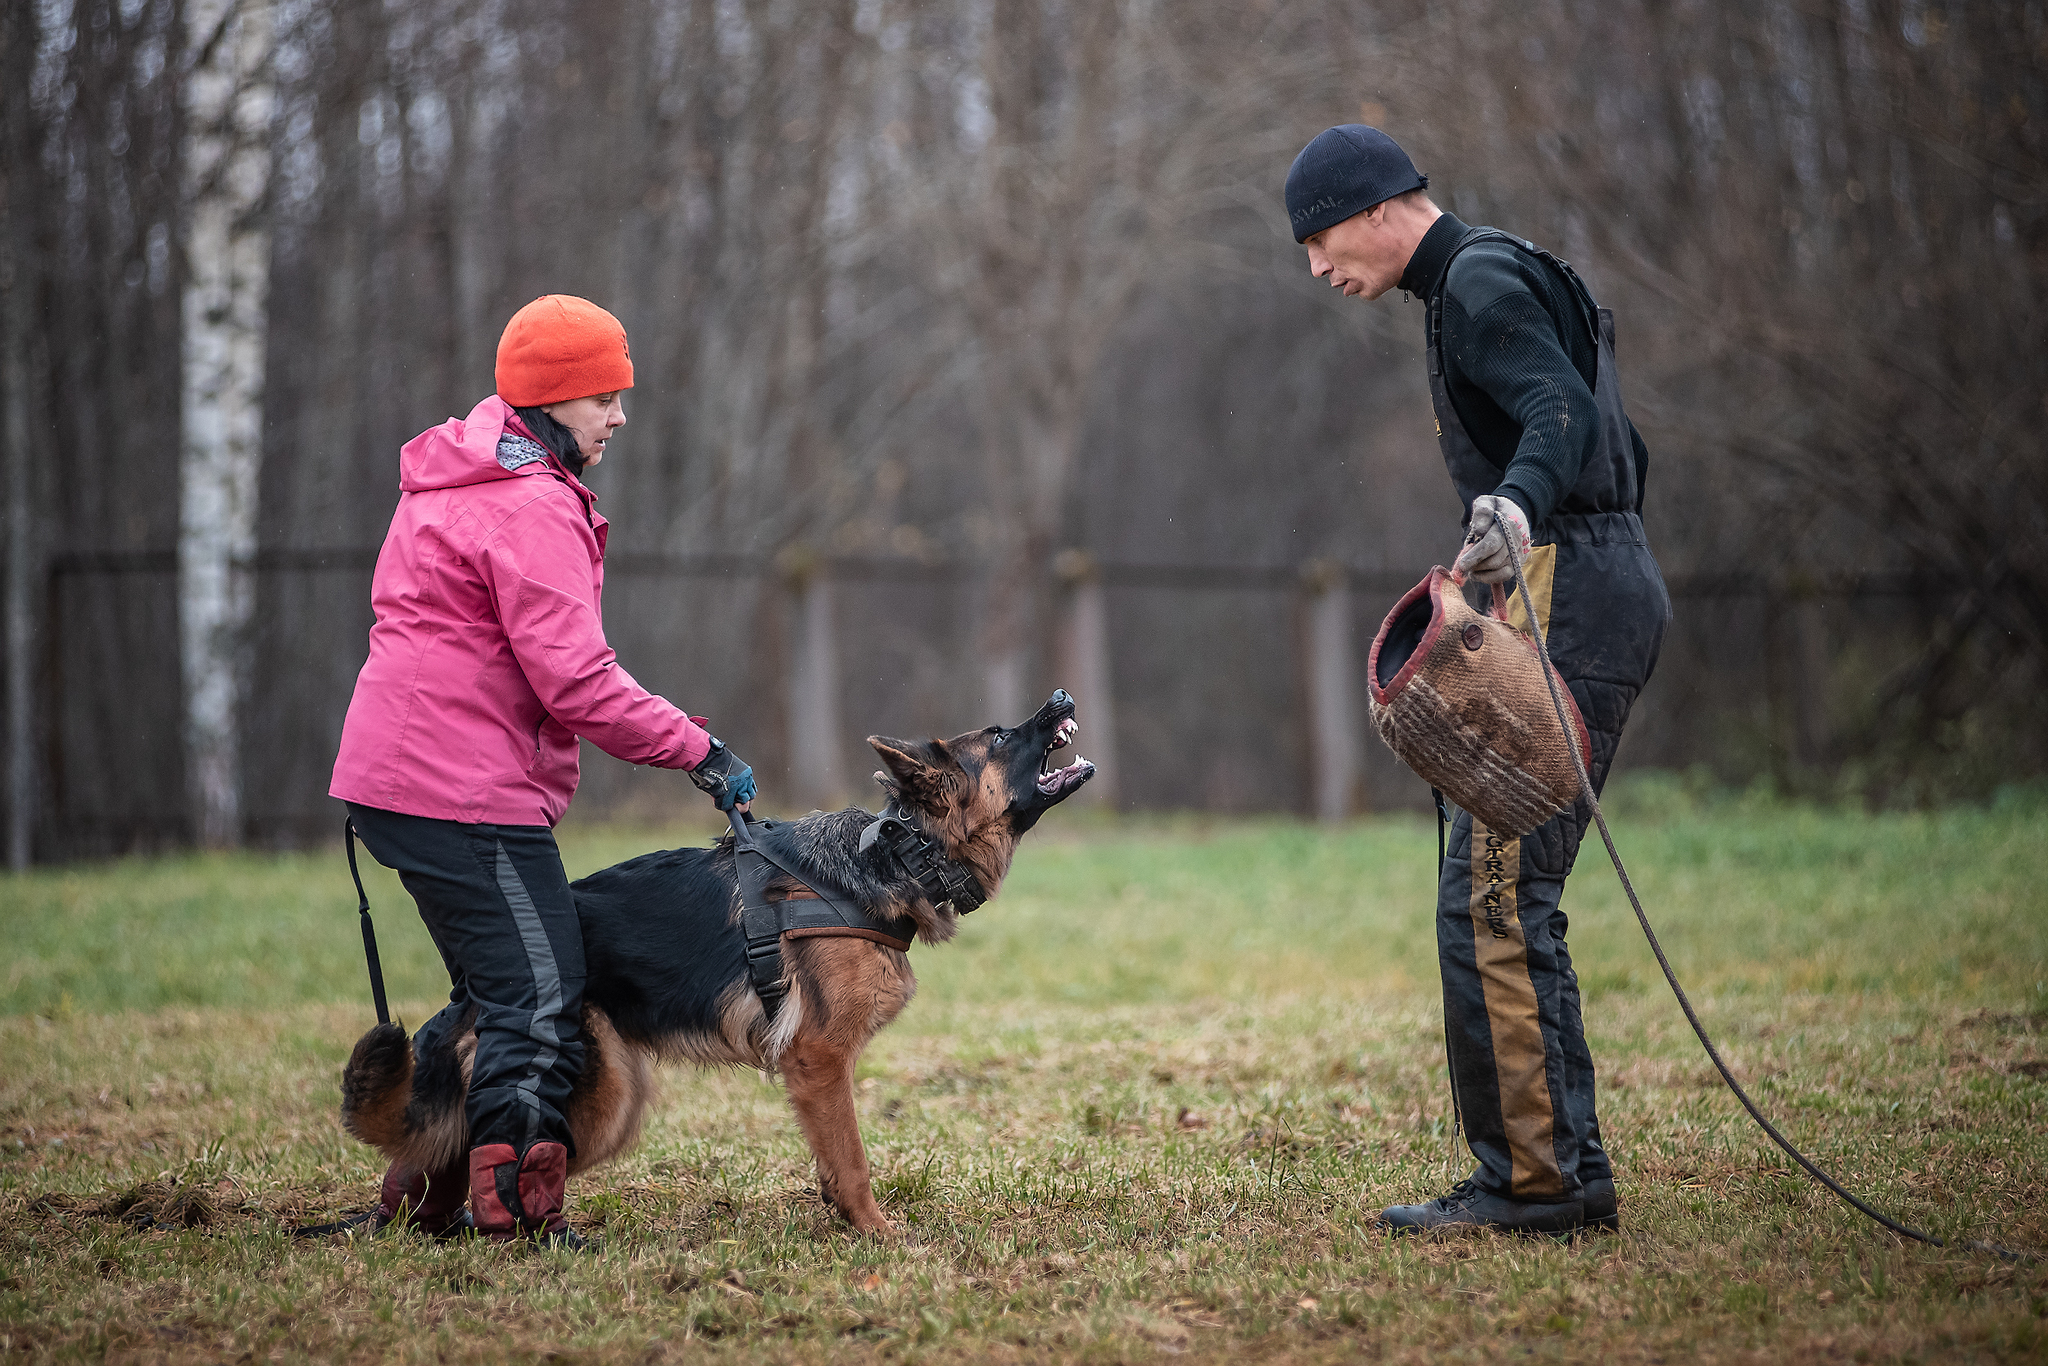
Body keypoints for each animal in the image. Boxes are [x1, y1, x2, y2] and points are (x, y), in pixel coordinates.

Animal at [333, 688, 1097, 1236]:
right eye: (999, 737)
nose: (1062, 696)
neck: (901, 853)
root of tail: (468, 990)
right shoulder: (818, 1060)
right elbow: (852, 1161)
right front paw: (880, 1235)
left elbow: (833, 1160)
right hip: (604, 1100)